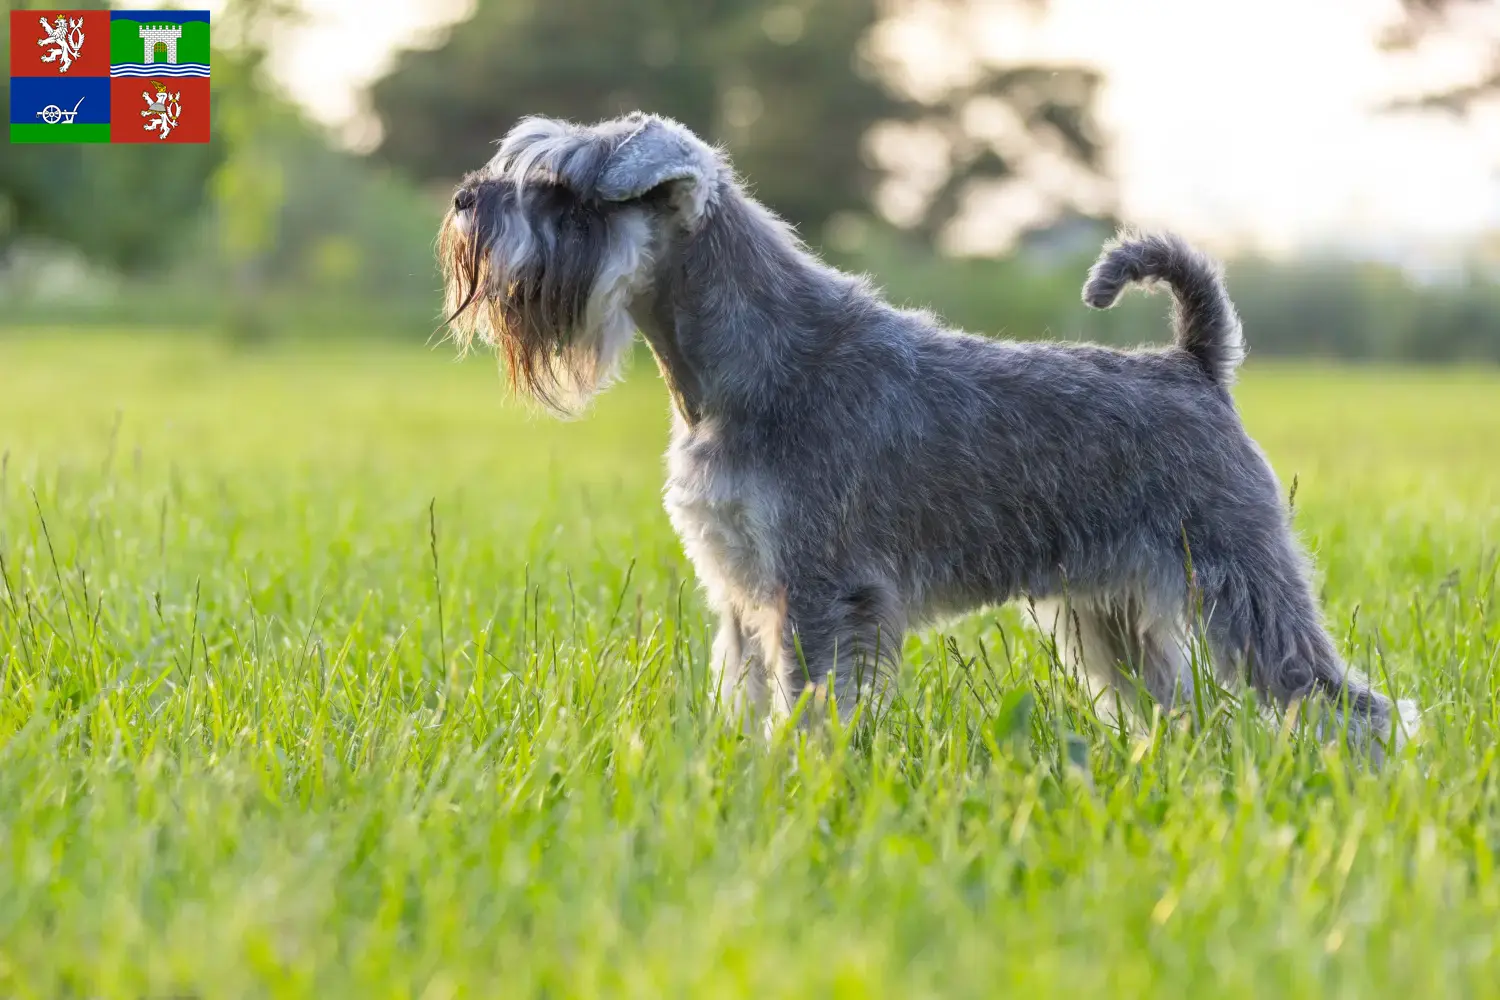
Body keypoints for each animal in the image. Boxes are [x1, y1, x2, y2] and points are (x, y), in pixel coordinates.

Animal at [441, 113, 1416, 755]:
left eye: (562, 189)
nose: (463, 200)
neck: (748, 361)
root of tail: (1195, 365)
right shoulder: (741, 586)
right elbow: (745, 690)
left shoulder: (816, 590)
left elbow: (808, 701)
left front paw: (798, 776)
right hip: (1110, 610)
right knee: (1170, 704)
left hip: (1239, 580)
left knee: (1341, 699)